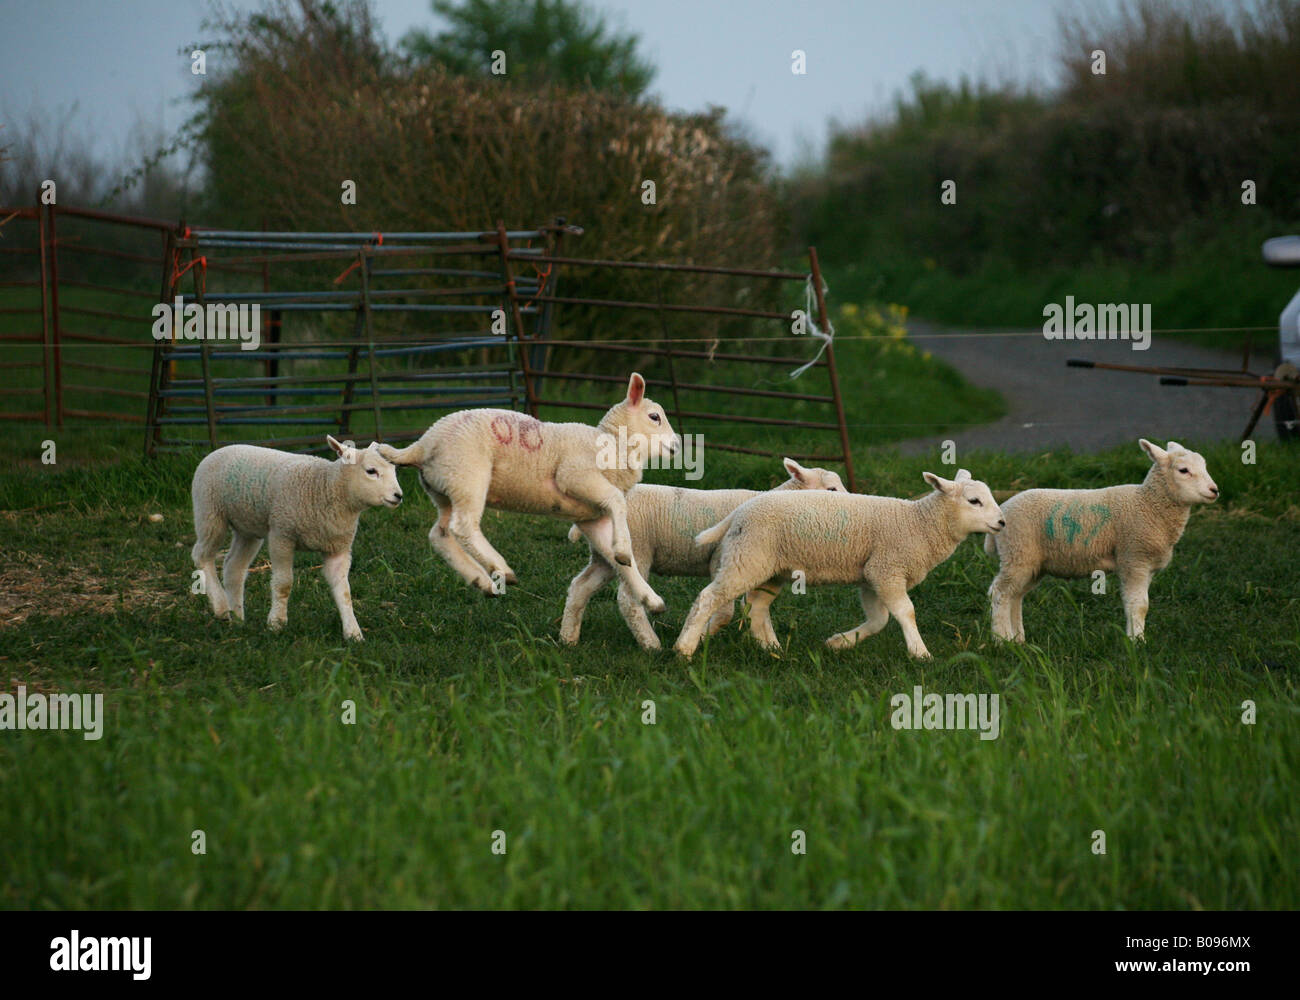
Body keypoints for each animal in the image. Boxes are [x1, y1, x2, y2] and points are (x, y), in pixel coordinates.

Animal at [189, 434, 400, 639]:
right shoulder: (282, 535)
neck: (325, 487)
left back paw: (237, 618)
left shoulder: (338, 548)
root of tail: (219, 449)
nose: (399, 496)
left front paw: (353, 633)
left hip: (247, 527)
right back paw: (221, 607)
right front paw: (276, 623)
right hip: (210, 512)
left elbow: (344, 592)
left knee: (234, 567)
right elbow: (284, 583)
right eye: (371, 471)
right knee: (201, 555)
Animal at [377, 371, 681, 613]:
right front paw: (623, 550)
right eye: (654, 417)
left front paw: (650, 599)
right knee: (463, 527)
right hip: (468, 476)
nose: (677, 445)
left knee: (440, 534)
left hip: (444, 488)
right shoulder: (576, 476)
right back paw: (499, 568)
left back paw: (481, 581)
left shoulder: (589, 516)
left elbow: (620, 562)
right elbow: (618, 502)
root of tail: (421, 444)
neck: (613, 444)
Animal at [561, 457, 847, 650]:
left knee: (581, 586)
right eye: (832, 489)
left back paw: (568, 638)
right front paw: (697, 637)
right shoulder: (720, 557)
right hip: (637, 549)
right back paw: (651, 644)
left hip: (604, 556)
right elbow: (724, 610)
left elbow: (751, 606)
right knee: (628, 599)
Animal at [676, 470, 998, 660]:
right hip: (748, 559)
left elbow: (879, 619)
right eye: (974, 501)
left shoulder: (872, 574)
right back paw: (685, 648)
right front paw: (920, 653)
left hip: (768, 568)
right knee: (709, 598)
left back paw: (772, 651)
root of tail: (739, 512)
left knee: (756, 607)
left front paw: (840, 643)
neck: (919, 523)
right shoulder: (887, 568)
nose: (1002, 522)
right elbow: (906, 612)